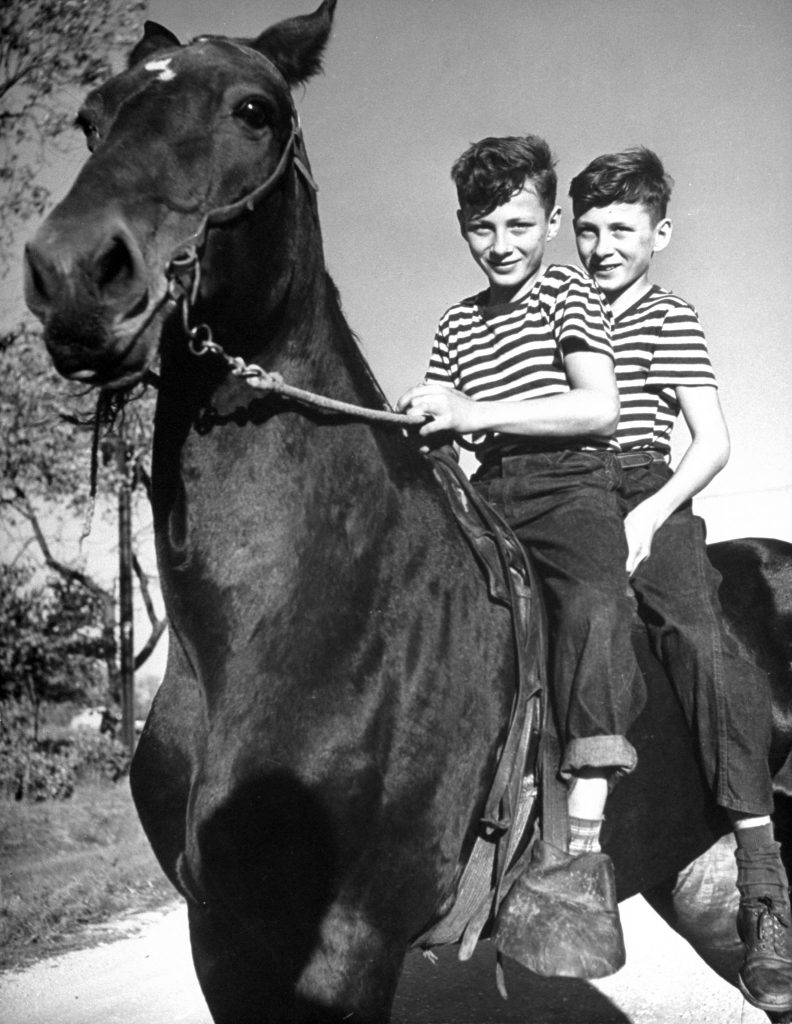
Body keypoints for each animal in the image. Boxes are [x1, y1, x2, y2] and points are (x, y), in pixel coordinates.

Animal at [21, 4, 790, 1019]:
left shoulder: (345, 952)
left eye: (255, 109)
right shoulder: (221, 943)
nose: (74, 273)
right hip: (697, 879)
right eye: (90, 117)